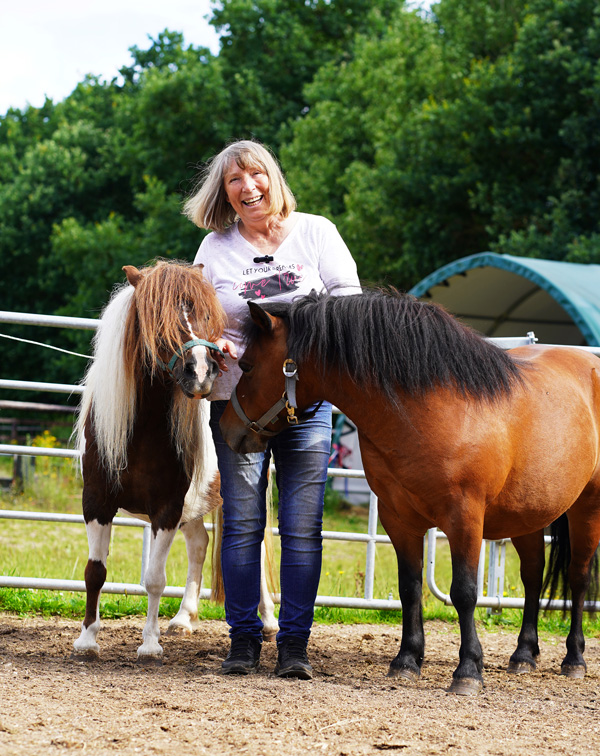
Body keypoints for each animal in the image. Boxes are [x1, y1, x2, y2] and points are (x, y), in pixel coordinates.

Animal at [71, 260, 278, 660]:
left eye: (204, 313)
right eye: (156, 317)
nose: (200, 372)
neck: (141, 431)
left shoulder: (166, 510)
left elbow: (154, 579)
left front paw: (150, 644)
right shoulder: (97, 503)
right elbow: (95, 572)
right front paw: (87, 639)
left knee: (257, 555)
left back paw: (270, 622)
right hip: (194, 506)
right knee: (200, 545)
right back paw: (184, 618)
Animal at [219, 290, 600, 696]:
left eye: (247, 365)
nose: (228, 429)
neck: (433, 409)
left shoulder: (465, 518)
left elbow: (464, 591)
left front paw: (468, 671)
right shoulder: (398, 518)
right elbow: (410, 588)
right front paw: (406, 660)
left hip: (586, 507)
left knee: (577, 576)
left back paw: (574, 659)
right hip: (527, 513)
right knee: (532, 575)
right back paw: (524, 655)